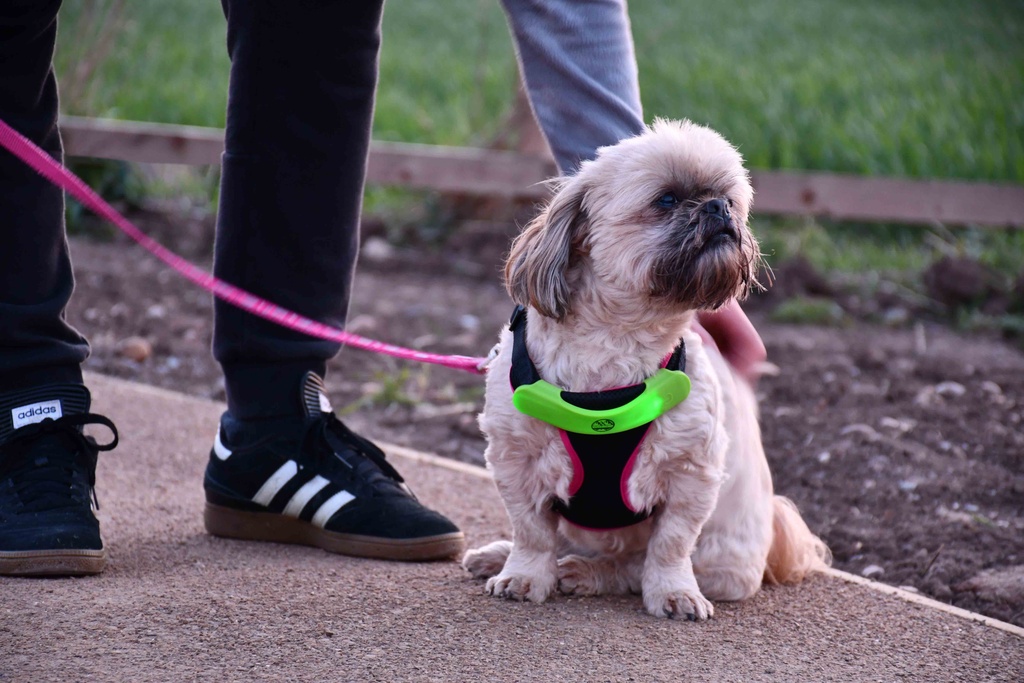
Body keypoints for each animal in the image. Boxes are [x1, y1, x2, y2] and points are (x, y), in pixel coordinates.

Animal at [464, 117, 831, 618]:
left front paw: (674, 591)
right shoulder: (516, 460)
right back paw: (503, 556)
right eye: (667, 200)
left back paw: (585, 572)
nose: (718, 207)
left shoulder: (691, 477)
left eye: (730, 198)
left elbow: (669, 547)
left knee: (631, 565)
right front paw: (522, 574)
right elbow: (532, 532)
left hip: (721, 556)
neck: (613, 347)